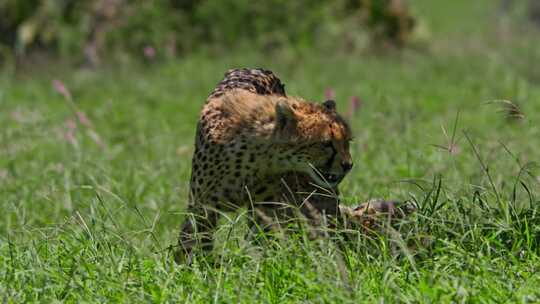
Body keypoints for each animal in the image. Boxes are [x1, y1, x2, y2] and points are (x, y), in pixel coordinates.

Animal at [176, 69, 354, 264]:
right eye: (326, 144)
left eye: (347, 141)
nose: (348, 165)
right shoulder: (202, 206)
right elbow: (193, 240)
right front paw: (191, 267)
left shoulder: (266, 209)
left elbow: (263, 242)